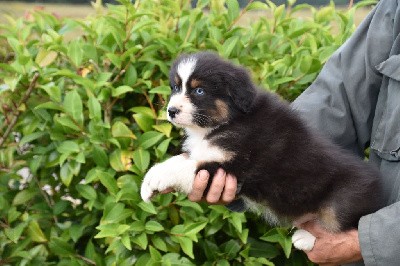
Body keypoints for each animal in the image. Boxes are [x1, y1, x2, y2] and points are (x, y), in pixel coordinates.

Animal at [141, 51, 384, 251]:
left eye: (199, 91)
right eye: (175, 87)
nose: (171, 111)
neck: (229, 121)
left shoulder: (233, 163)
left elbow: (183, 166)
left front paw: (154, 181)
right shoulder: (209, 152)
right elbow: (180, 160)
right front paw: (149, 185)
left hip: (344, 200)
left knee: (347, 225)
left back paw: (307, 237)